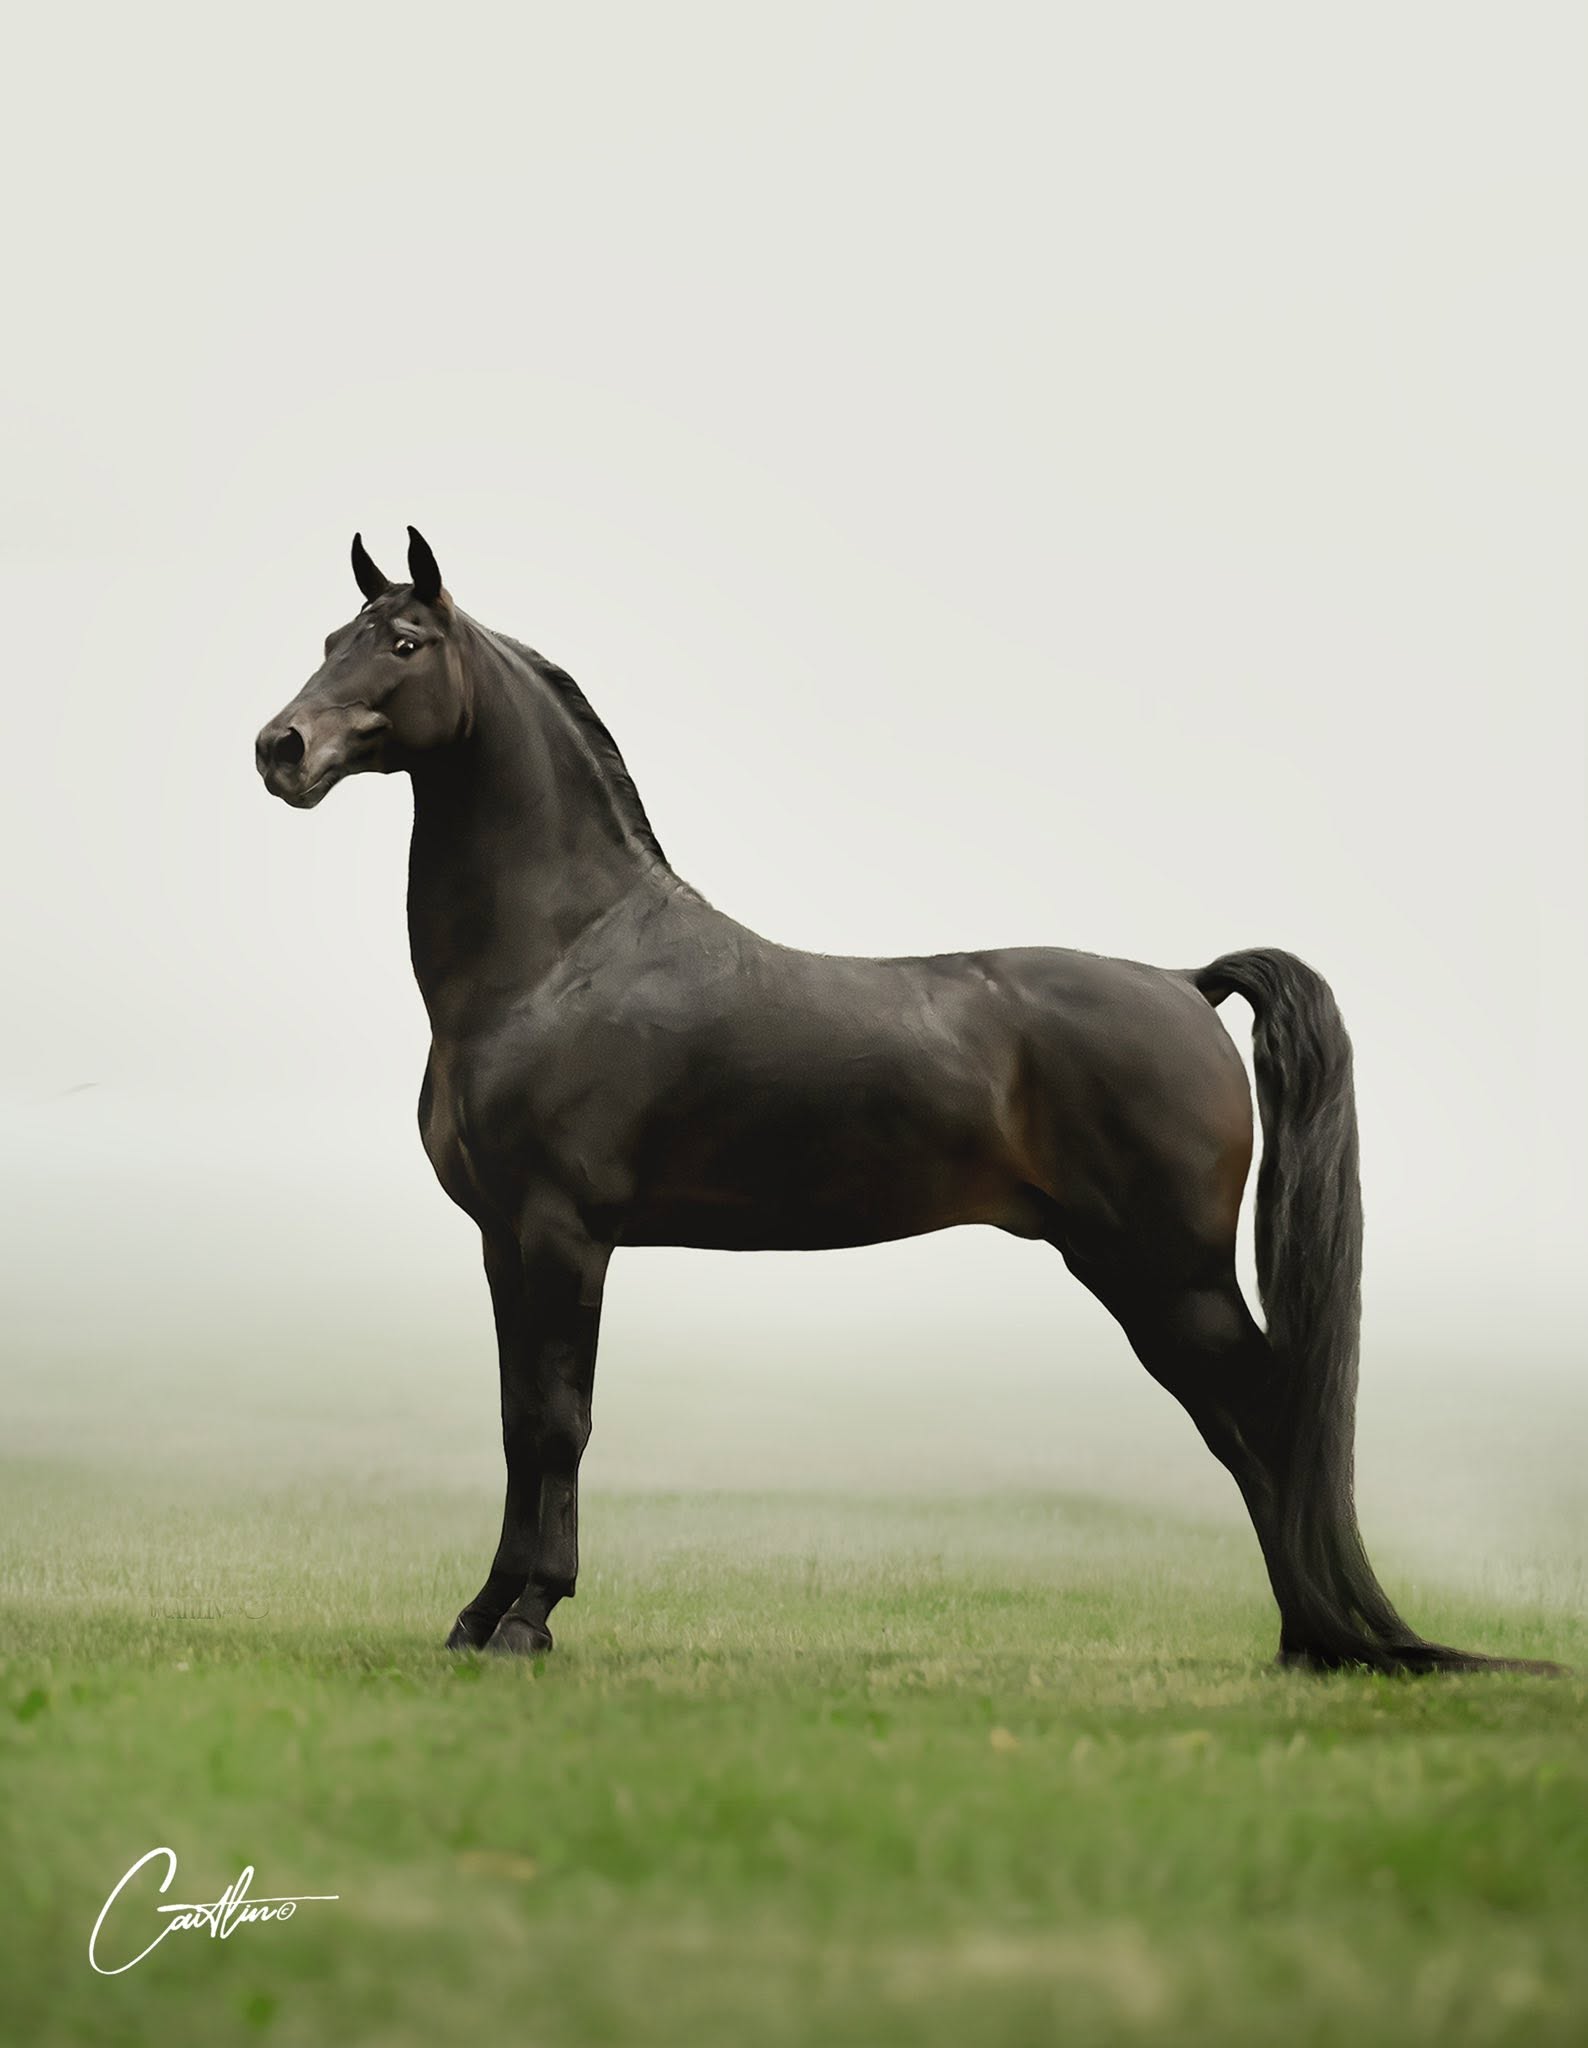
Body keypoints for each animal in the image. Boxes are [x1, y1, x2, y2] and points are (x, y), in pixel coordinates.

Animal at [254, 527, 1555, 1675]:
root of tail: (1184, 983)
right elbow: (518, 1420)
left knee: (1266, 1419)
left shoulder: (564, 1231)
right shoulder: (503, 1238)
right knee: (1245, 1430)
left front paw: (528, 1619)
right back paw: (1309, 1641)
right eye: (330, 636)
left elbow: (555, 1422)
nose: (281, 746)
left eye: (405, 642)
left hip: (1168, 1275)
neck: (560, 955)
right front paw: (482, 1615)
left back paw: (1322, 1643)